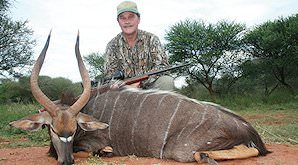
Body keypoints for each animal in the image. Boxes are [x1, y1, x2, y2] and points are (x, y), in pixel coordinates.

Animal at [9, 32, 270, 165]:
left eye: (74, 129)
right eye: (51, 128)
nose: (66, 162)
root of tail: (248, 128)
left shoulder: (92, 142)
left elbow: (93, 150)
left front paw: (105, 151)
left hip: (181, 150)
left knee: (236, 151)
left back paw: (206, 158)